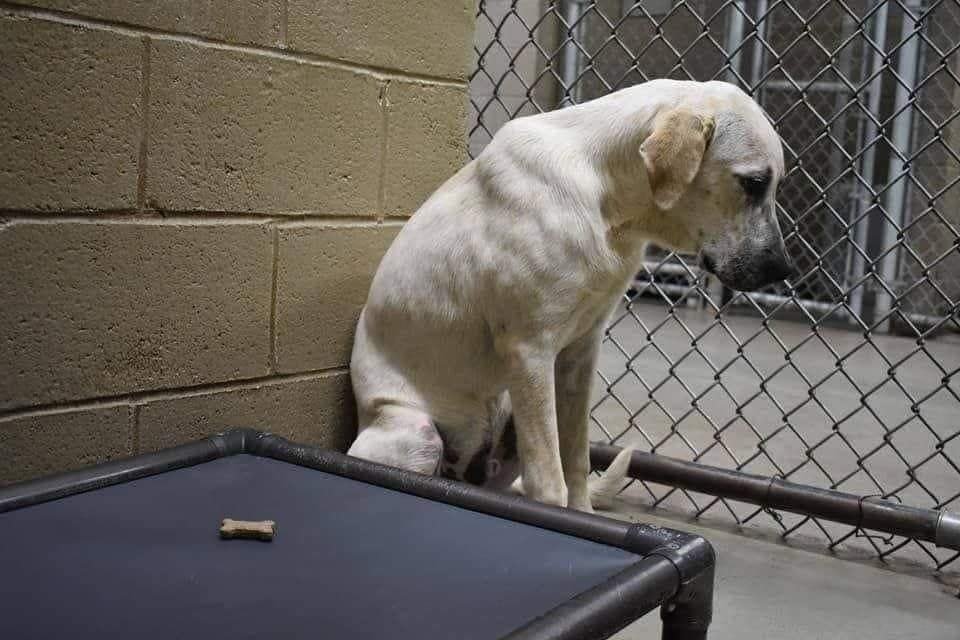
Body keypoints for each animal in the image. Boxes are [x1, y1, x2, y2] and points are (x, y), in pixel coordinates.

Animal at [348, 79, 792, 510]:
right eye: (754, 182)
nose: (783, 270)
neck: (608, 200)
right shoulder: (531, 353)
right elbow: (550, 483)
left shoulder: (580, 352)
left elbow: (576, 460)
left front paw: (582, 515)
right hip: (418, 432)